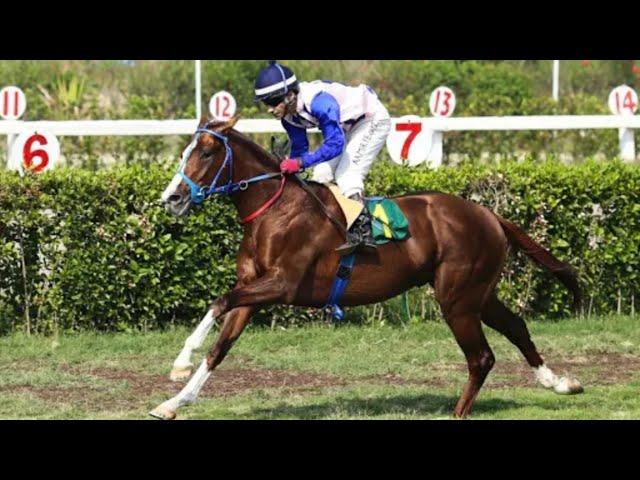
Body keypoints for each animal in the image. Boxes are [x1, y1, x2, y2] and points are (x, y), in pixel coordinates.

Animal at [150, 117, 584, 420]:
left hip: (457, 300)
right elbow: (219, 347)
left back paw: (462, 410)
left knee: (481, 357)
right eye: (186, 151)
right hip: (478, 293)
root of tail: (488, 214)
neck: (275, 210)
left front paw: (179, 362)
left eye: (206, 153)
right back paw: (560, 382)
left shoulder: (282, 283)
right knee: (516, 327)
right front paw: (173, 401)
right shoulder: (254, 289)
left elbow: (218, 302)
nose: (171, 198)